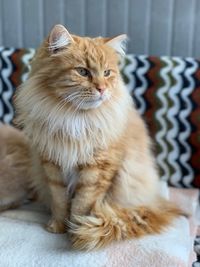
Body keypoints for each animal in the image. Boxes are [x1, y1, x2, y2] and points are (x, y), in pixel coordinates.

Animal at [14, 24, 183, 251]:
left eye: (107, 73)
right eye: (82, 72)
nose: (102, 89)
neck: (74, 118)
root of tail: (156, 200)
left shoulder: (96, 170)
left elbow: (81, 205)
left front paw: (74, 231)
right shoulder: (53, 167)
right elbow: (60, 202)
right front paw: (58, 227)